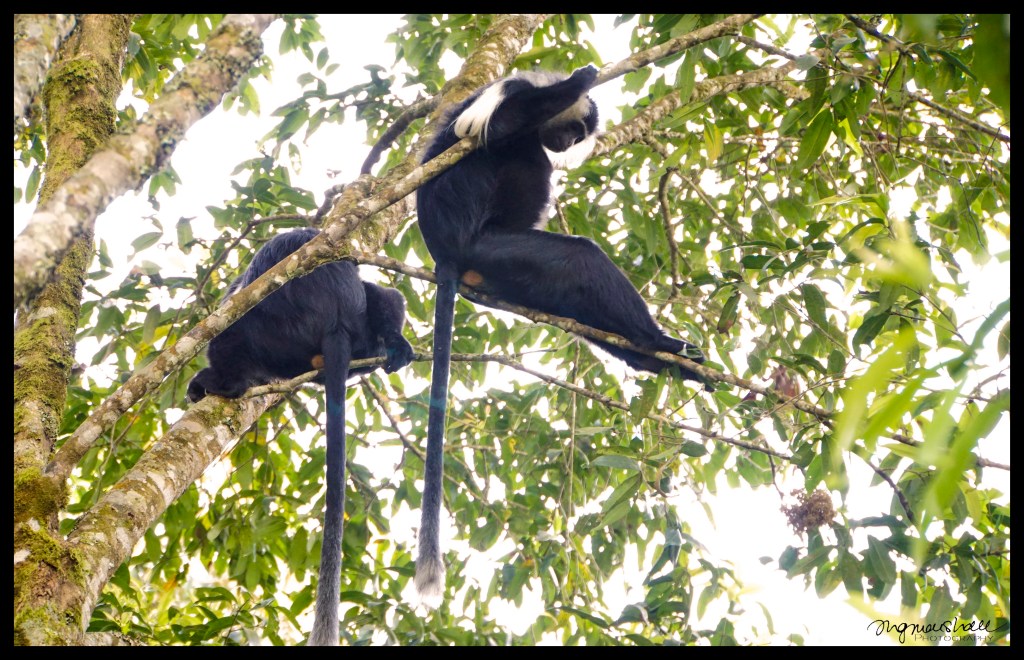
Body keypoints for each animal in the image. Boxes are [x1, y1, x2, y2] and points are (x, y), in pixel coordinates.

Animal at [187, 227, 414, 646]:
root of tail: (336, 324)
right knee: (385, 295)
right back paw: (390, 345)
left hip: (276, 331)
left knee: (232, 327)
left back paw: (225, 382)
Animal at [413, 65, 708, 600]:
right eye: (572, 129)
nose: (568, 142)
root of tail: (445, 255)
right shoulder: (512, 94)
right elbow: (496, 128)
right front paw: (580, 78)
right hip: (496, 250)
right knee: (579, 258)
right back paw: (657, 343)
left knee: (573, 293)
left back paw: (655, 356)